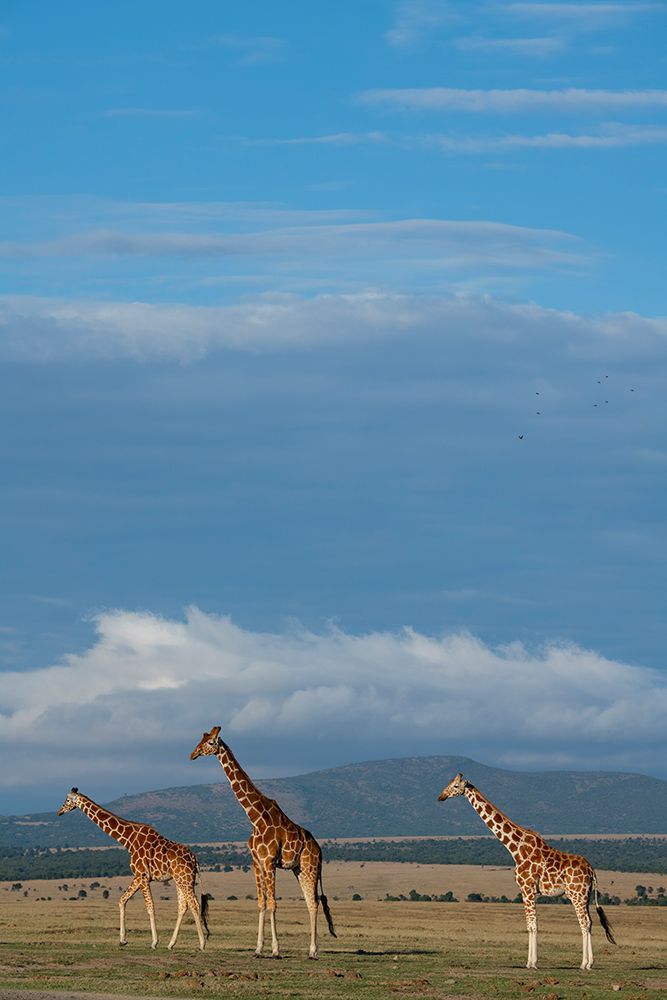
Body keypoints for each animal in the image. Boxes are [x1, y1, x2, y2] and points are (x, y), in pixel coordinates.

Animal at [57, 788, 209, 951]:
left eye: (67, 800)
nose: (59, 811)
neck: (128, 840)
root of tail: (194, 859)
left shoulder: (142, 875)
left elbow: (150, 907)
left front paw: (154, 942)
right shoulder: (138, 876)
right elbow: (122, 900)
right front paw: (123, 940)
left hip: (184, 878)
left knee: (194, 904)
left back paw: (201, 944)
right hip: (180, 879)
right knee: (183, 905)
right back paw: (171, 944)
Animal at [190, 726, 336, 959]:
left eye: (211, 742)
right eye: (201, 739)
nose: (192, 754)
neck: (255, 817)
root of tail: (319, 849)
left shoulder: (269, 862)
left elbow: (273, 904)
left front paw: (275, 950)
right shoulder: (256, 863)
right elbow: (261, 903)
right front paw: (258, 949)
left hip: (310, 867)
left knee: (313, 903)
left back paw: (313, 951)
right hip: (299, 869)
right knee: (310, 902)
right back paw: (311, 950)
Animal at [437, 774, 616, 970]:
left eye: (455, 786)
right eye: (448, 784)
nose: (441, 797)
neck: (516, 848)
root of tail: (592, 870)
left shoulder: (527, 888)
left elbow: (532, 925)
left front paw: (532, 963)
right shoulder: (527, 890)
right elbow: (530, 924)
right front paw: (531, 961)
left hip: (577, 895)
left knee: (584, 923)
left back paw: (584, 964)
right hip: (585, 895)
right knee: (590, 922)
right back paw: (589, 962)